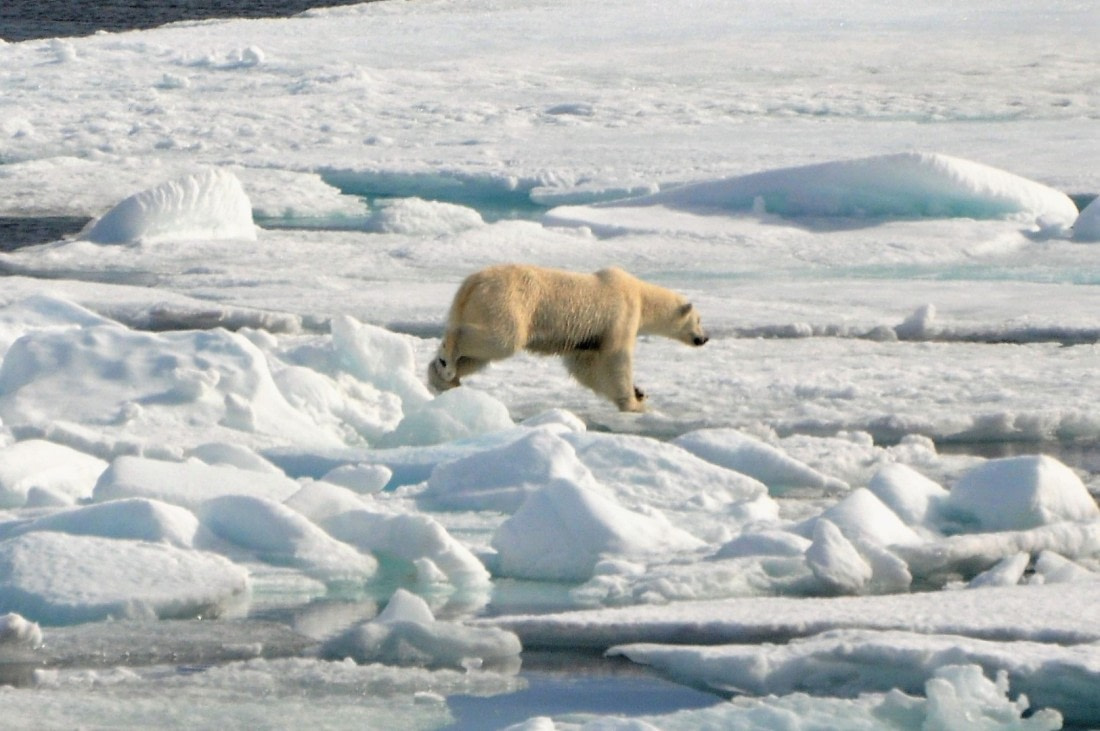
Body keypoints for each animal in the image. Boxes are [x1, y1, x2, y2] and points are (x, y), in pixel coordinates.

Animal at [428, 264, 708, 412]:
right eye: (699, 320)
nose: (704, 339)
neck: (640, 293)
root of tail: (472, 283)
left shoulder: (586, 339)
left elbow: (586, 367)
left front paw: (640, 394)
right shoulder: (621, 315)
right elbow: (616, 359)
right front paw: (634, 402)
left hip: (475, 306)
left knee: (476, 356)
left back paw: (444, 376)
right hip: (508, 303)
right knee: (500, 340)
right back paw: (446, 360)